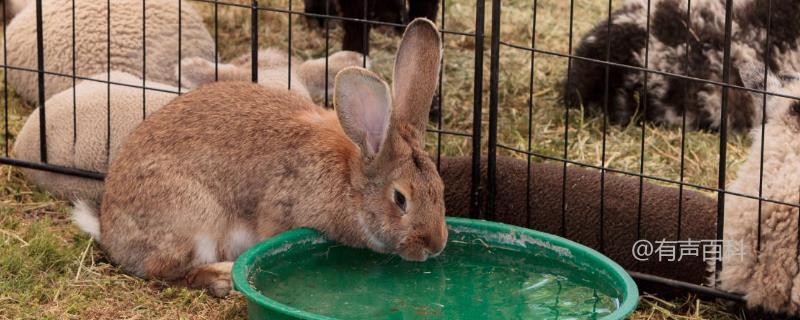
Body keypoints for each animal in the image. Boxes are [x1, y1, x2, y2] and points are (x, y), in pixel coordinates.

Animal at [75, 18, 446, 298]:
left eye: (440, 189)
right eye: (400, 199)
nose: (436, 245)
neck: (349, 181)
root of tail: (109, 231)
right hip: (192, 219)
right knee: (165, 271)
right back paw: (223, 278)